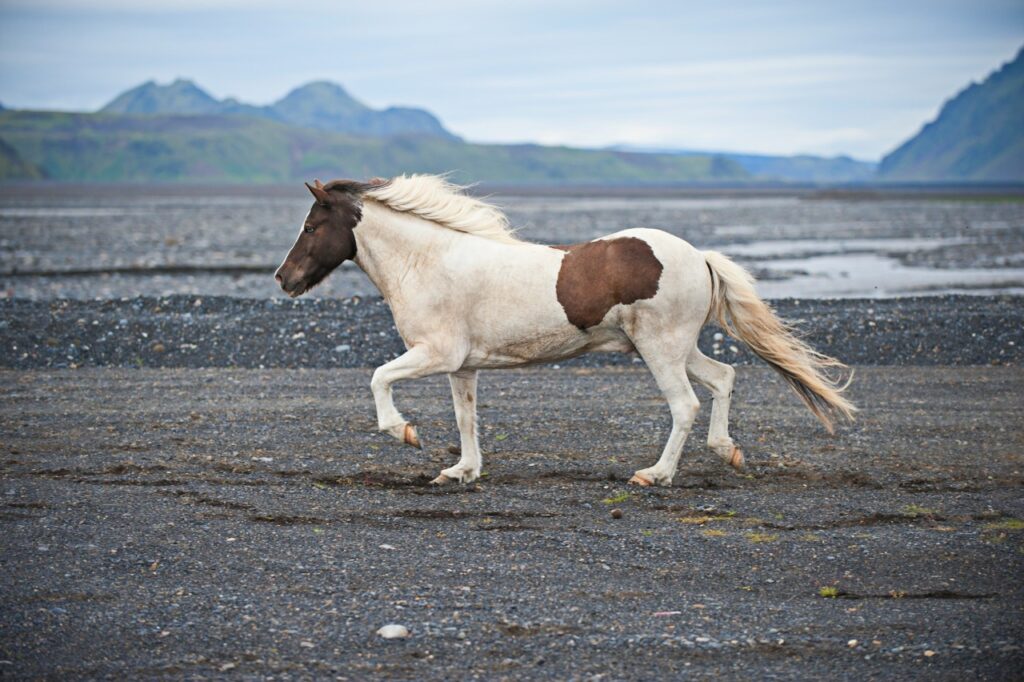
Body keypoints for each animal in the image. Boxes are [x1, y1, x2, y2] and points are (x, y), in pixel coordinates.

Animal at [274, 175, 855, 487]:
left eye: (310, 226)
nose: (284, 278)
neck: (429, 261)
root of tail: (699, 256)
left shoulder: (434, 353)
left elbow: (378, 378)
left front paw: (404, 432)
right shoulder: (463, 366)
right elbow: (466, 420)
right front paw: (461, 472)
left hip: (660, 348)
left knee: (686, 404)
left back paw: (655, 475)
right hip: (676, 347)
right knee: (723, 377)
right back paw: (726, 450)